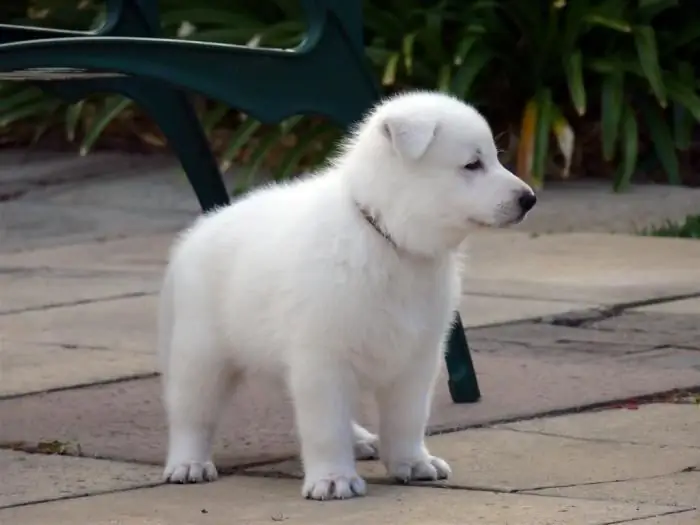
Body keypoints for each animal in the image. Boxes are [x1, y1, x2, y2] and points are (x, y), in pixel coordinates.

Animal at [159, 90, 536, 500]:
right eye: (472, 164)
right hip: (202, 351)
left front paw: (412, 462)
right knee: (192, 411)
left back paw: (359, 439)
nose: (529, 199)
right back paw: (189, 463)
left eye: (495, 157)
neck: (386, 238)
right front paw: (332, 478)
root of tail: (197, 231)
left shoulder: (417, 355)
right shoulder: (322, 357)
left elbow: (407, 418)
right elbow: (325, 426)